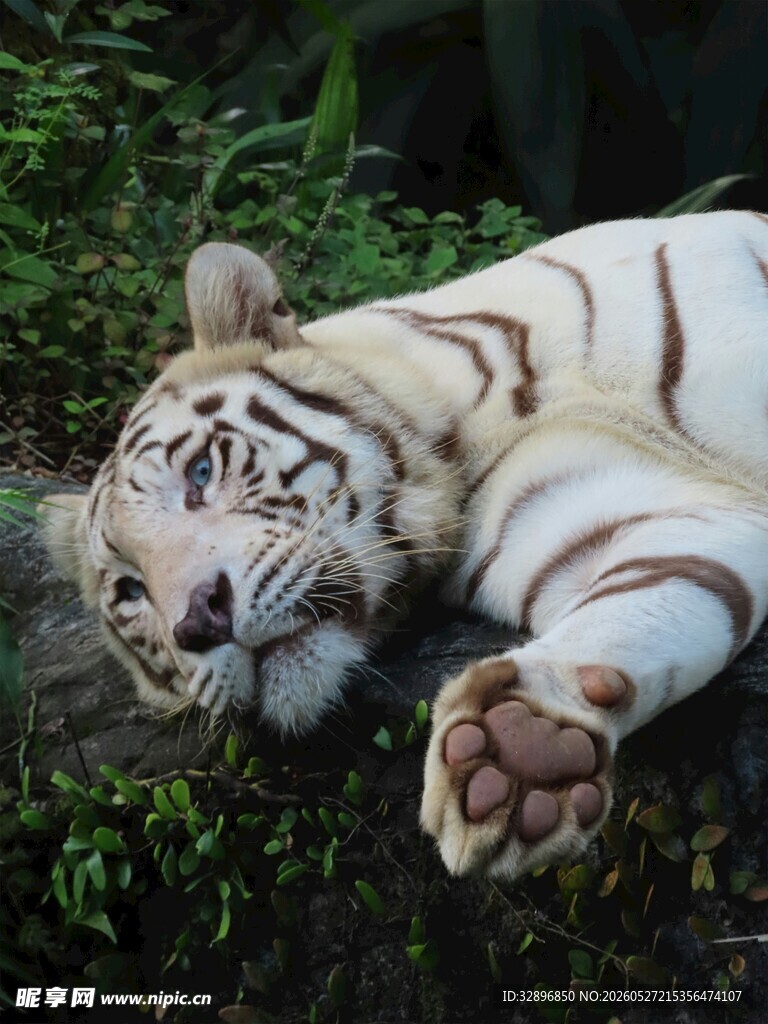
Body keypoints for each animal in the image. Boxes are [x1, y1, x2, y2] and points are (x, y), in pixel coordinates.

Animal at [40, 210, 768, 883]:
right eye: (130, 591)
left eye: (199, 472)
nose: (198, 622)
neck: (462, 429)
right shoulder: (638, 516)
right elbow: (663, 591)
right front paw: (526, 748)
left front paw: (524, 747)